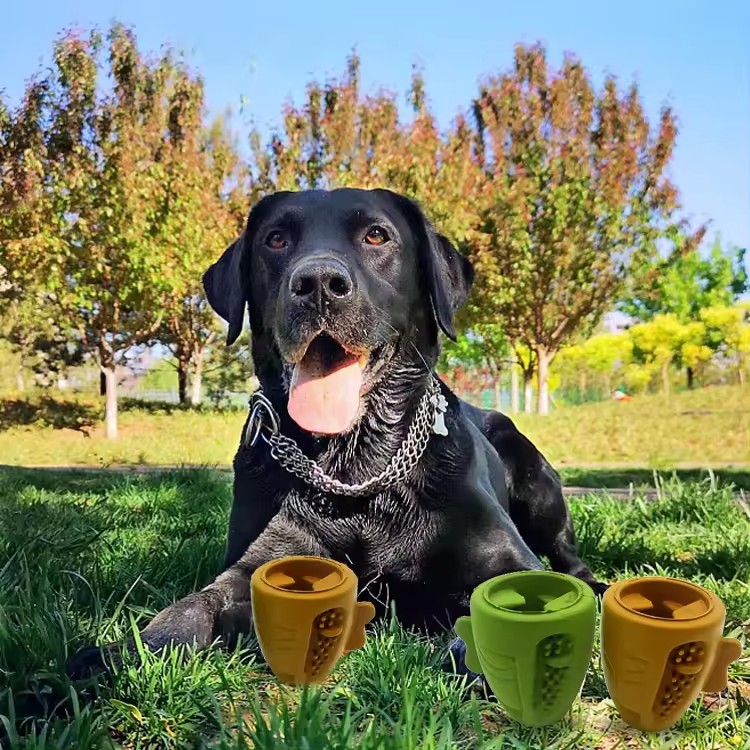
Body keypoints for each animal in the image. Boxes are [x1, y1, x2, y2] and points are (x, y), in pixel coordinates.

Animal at [66, 185, 604, 680]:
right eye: (276, 239)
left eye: (376, 235)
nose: (319, 283)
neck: (356, 467)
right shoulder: (261, 560)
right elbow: (192, 606)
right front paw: (118, 655)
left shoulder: (506, 558)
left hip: (539, 487)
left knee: (569, 558)